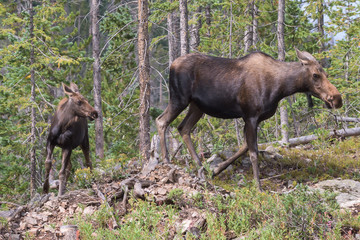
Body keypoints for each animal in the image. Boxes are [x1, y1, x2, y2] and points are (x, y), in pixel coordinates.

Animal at [156, 48, 342, 189]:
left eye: (325, 73)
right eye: (316, 75)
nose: (337, 98)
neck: (282, 87)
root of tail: (171, 65)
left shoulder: (255, 119)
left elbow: (244, 147)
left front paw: (216, 170)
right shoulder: (250, 116)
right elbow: (253, 153)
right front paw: (258, 186)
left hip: (197, 107)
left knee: (183, 128)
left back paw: (201, 168)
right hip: (179, 98)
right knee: (161, 120)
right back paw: (166, 160)